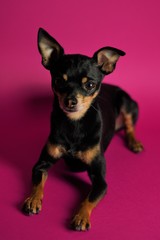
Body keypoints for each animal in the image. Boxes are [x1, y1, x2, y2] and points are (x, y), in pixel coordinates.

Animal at [22, 27, 144, 231]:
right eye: (58, 81)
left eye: (90, 85)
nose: (70, 101)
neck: (74, 124)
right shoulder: (41, 164)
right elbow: (37, 184)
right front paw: (33, 199)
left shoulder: (100, 180)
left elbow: (89, 199)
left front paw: (81, 216)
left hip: (127, 103)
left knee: (129, 126)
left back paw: (134, 143)